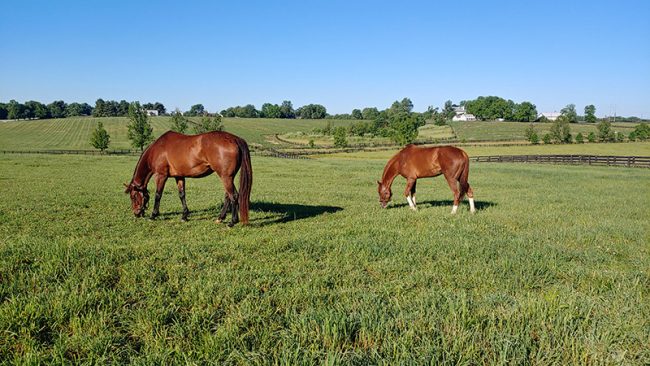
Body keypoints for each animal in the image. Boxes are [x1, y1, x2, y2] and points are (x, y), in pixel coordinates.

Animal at [123, 129, 252, 226]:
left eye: (133, 196)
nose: (136, 213)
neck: (157, 150)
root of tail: (234, 139)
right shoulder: (179, 176)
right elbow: (182, 195)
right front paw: (184, 216)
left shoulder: (161, 176)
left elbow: (158, 195)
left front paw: (153, 215)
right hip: (228, 177)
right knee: (228, 196)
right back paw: (220, 218)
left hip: (225, 177)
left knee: (233, 196)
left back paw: (232, 222)